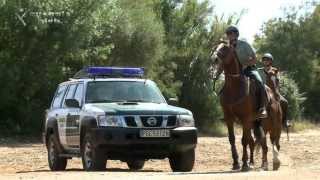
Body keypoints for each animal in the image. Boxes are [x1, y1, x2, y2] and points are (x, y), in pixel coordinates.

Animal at [212, 42, 282, 172]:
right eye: (216, 47)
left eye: (224, 49)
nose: (214, 58)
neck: (234, 87)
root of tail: (274, 96)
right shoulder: (229, 118)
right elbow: (233, 139)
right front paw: (236, 163)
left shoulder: (245, 118)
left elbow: (244, 140)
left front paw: (244, 164)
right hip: (256, 124)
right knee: (260, 143)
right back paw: (259, 164)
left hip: (275, 125)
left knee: (274, 142)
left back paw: (273, 163)